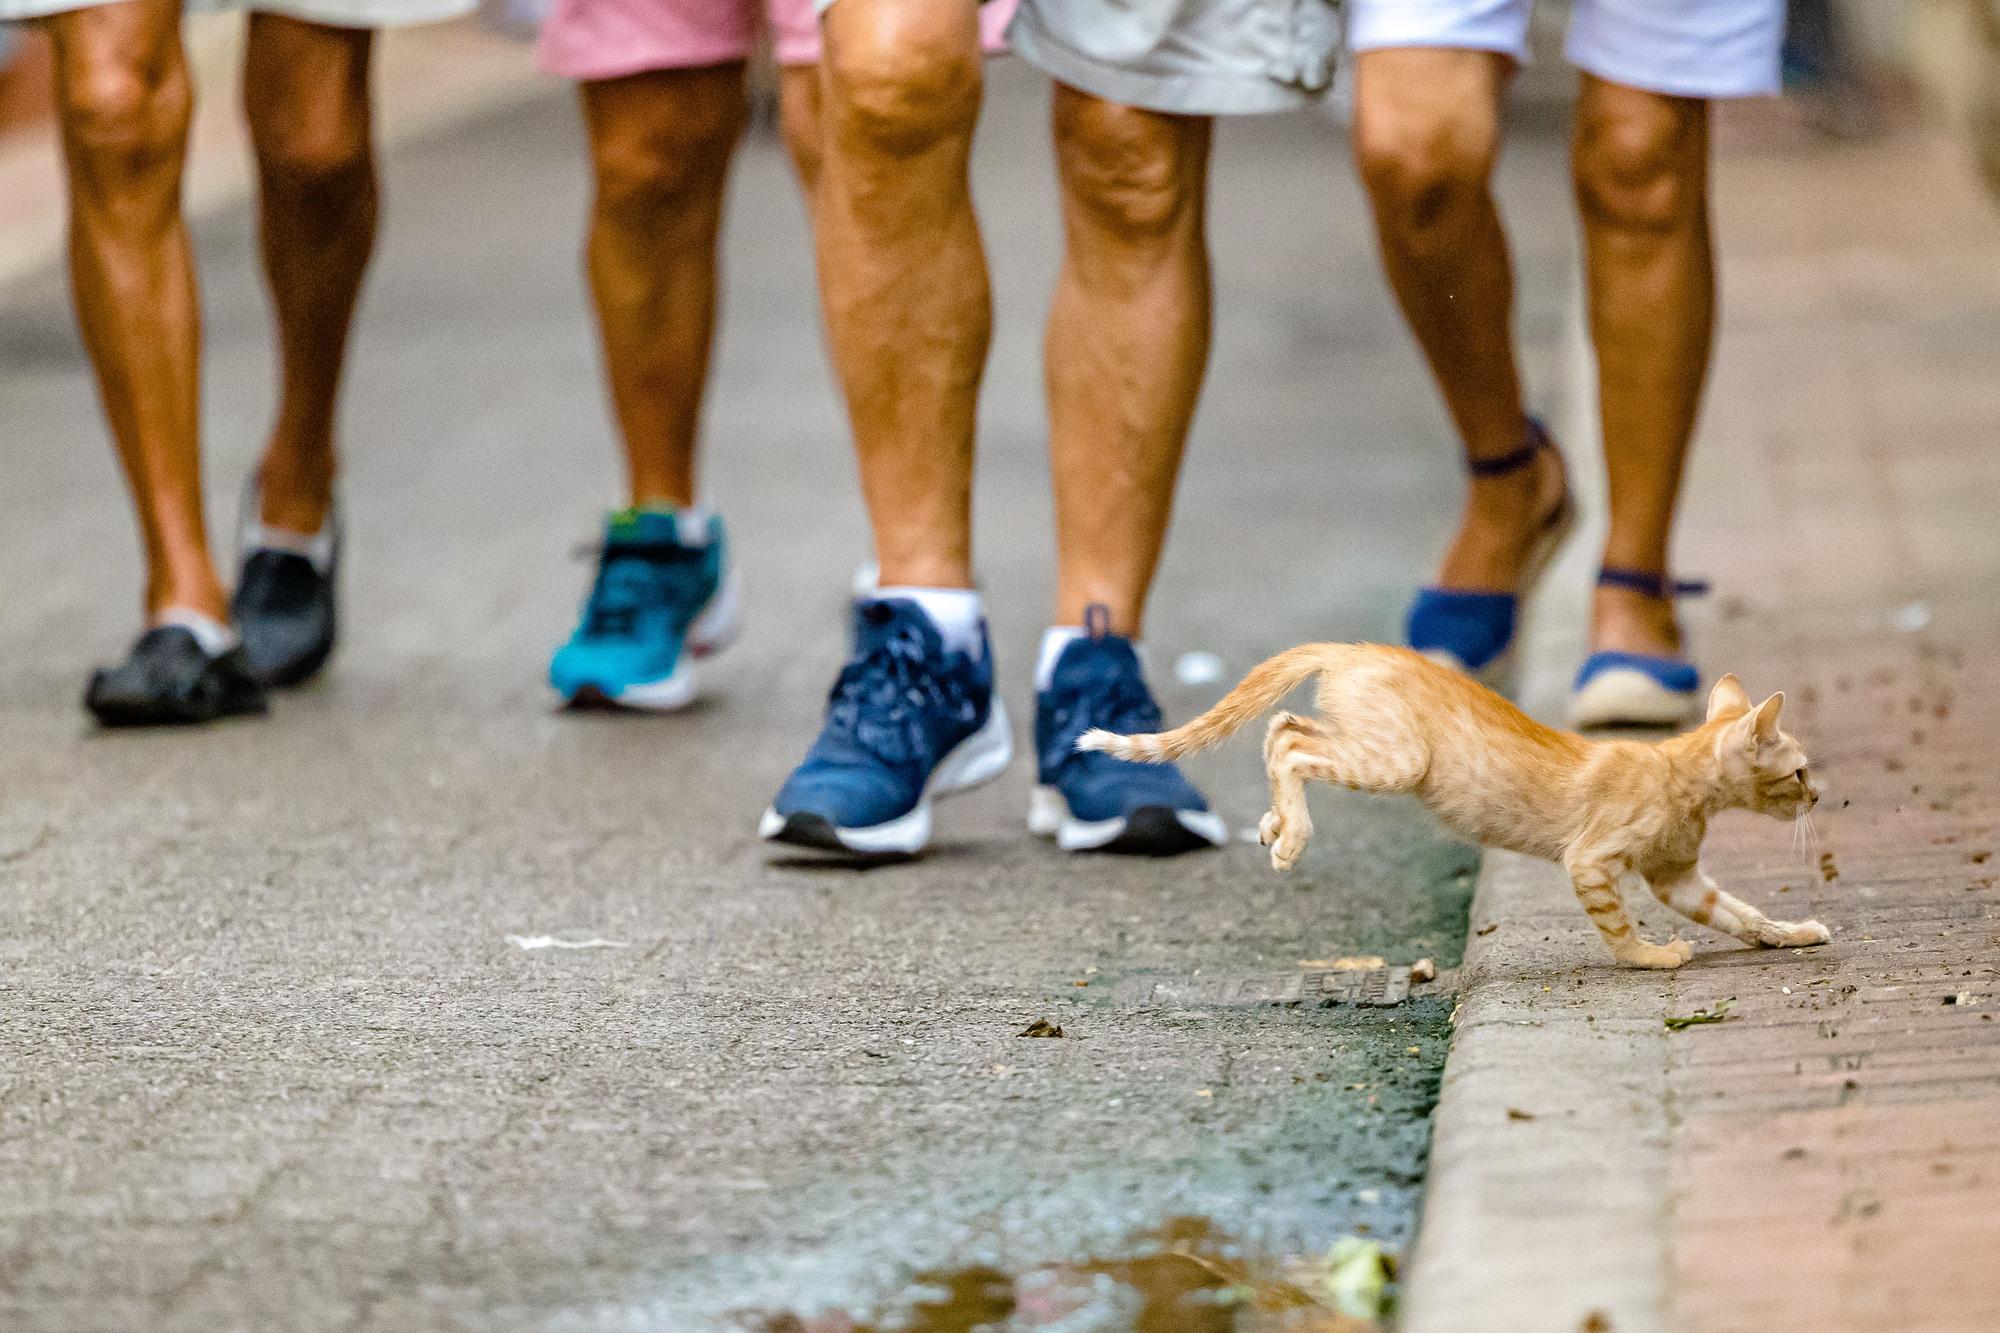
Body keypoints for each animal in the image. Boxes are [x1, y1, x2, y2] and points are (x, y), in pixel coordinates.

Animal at [1080, 644, 1832, 964]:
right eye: (1798, 772)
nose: (1820, 795)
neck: (1677, 774)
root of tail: (1356, 646)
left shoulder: (1679, 877)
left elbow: (1739, 911)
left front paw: (1788, 933)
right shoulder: (1592, 860)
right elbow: (1618, 926)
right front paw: (1650, 957)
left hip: (1373, 742)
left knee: (1281, 727)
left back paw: (1274, 822)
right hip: (1397, 759)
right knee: (1290, 742)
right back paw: (1293, 835)